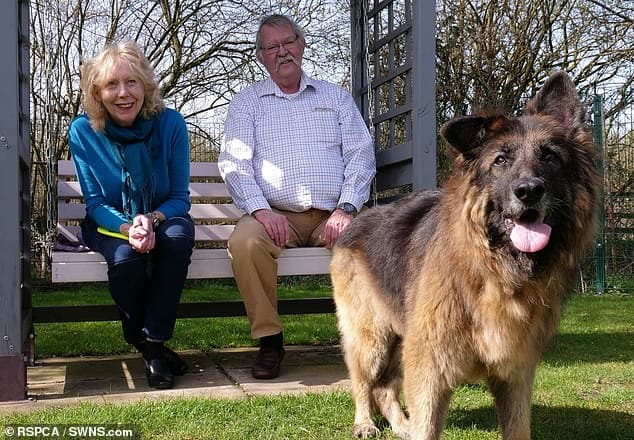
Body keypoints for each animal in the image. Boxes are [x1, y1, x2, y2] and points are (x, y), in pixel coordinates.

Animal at [330, 70, 596, 438]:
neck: (495, 271)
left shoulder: (516, 374)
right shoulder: (429, 368)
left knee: (384, 388)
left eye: (550, 157)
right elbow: (426, 425)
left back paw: (401, 425)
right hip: (373, 338)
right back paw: (365, 423)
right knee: (362, 381)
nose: (528, 191)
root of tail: (358, 218)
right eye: (501, 160)